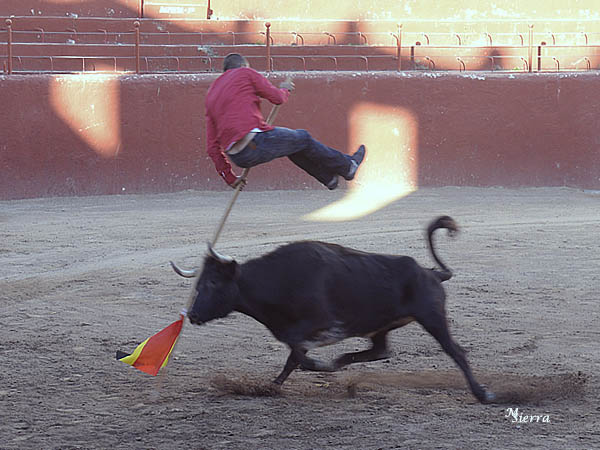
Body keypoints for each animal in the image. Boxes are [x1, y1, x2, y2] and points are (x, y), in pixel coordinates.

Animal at [171, 216, 494, 402]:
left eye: (213, 282)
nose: (194, 315)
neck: (277, 280)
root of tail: (431, 273)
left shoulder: (317, 324)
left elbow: (298, 355)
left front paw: (318, 367)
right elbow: (292, 359)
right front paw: (271, 387)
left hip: (432, 317)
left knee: (456, 351)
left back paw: (483, 393)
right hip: (383, 326)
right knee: (380, 351)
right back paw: (341, 363)